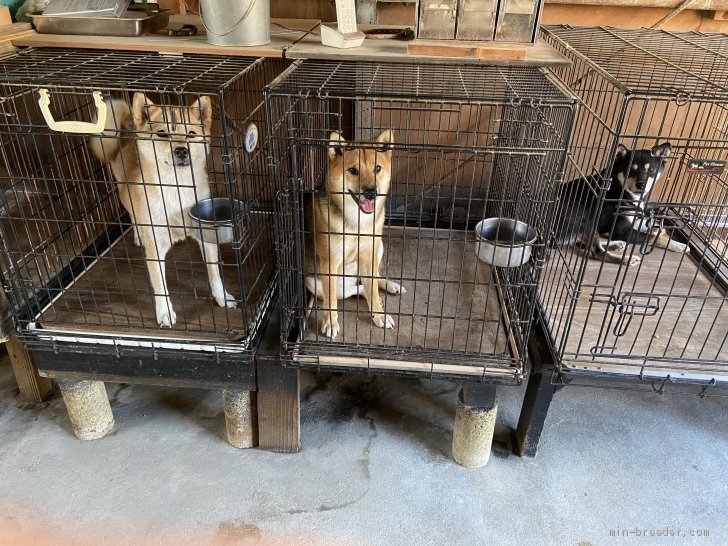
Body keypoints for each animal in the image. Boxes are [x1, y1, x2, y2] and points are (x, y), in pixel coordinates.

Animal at [302, 130, 404, 338]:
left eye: (377, 168)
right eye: (353, 170)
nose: (371, 192)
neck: (357, 222)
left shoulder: (368, 254)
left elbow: (373, 289)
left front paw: (379, 315)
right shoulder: (330, 263)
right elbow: (332, 301)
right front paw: (330, 323)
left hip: (378, 248)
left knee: (370, 284)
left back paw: (390, 288)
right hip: (316, 284)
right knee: (355, 290)